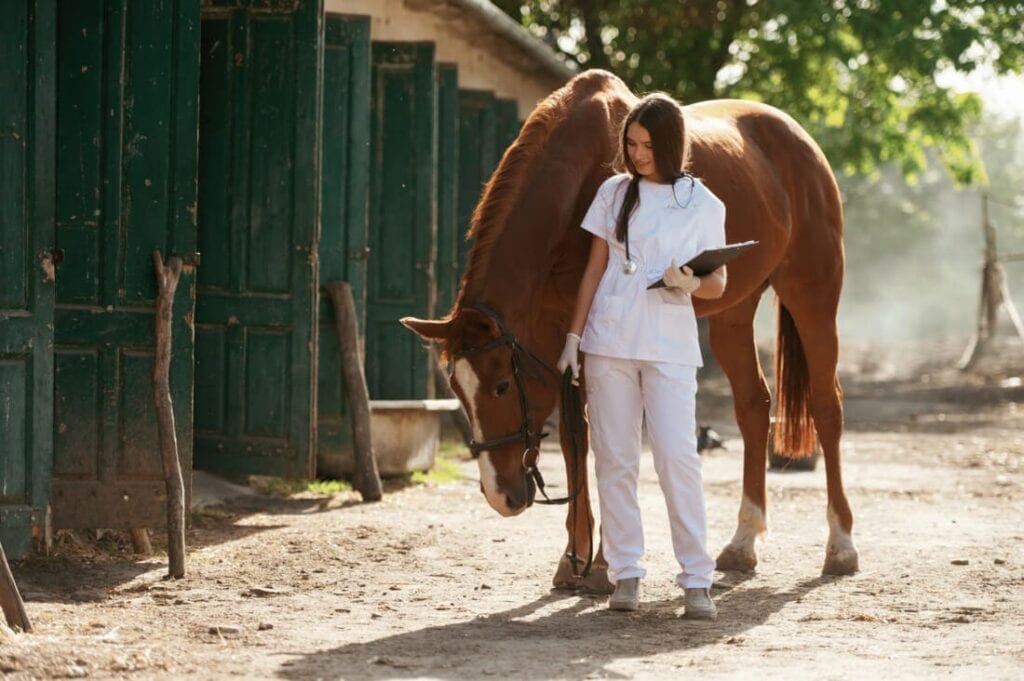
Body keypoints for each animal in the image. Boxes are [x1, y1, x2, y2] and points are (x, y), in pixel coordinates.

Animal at [402, 69, 858, 591]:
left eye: (500, 386)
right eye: (457, 389)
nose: (502, 497)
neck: (577, 181)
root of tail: (799, 140)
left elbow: (597, 441)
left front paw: (600, 565)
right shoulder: (561, 339)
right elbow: (575, 439)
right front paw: (575, 559)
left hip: (813, 297)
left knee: (826, 406)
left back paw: (841, 546)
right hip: (732, 314)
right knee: (753, 407)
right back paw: (743, 543)